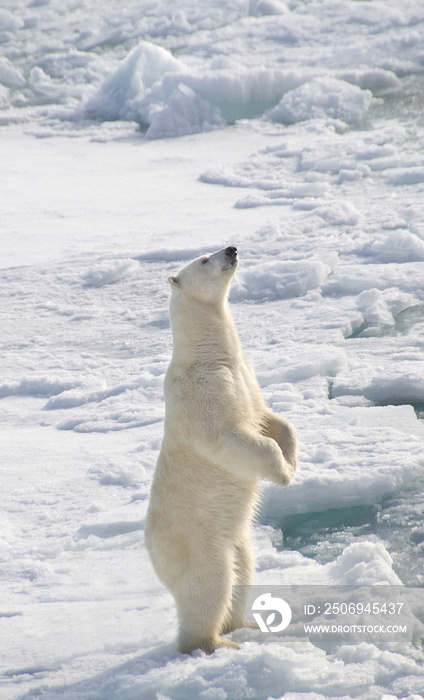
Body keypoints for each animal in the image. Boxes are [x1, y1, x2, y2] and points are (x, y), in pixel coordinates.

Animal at [146, 247, 298, 656]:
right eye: (202, 259)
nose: (231, 249)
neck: (210, 355)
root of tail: (152, 552)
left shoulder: (245, 374)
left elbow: (268, 418)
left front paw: (292, 458)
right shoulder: (201, 391)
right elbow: (229, 437)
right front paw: (282, 474)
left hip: (238, 538)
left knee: (244, 569)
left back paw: (242, 623)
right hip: (196, 541)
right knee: (211, 584)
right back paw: (215, 643)